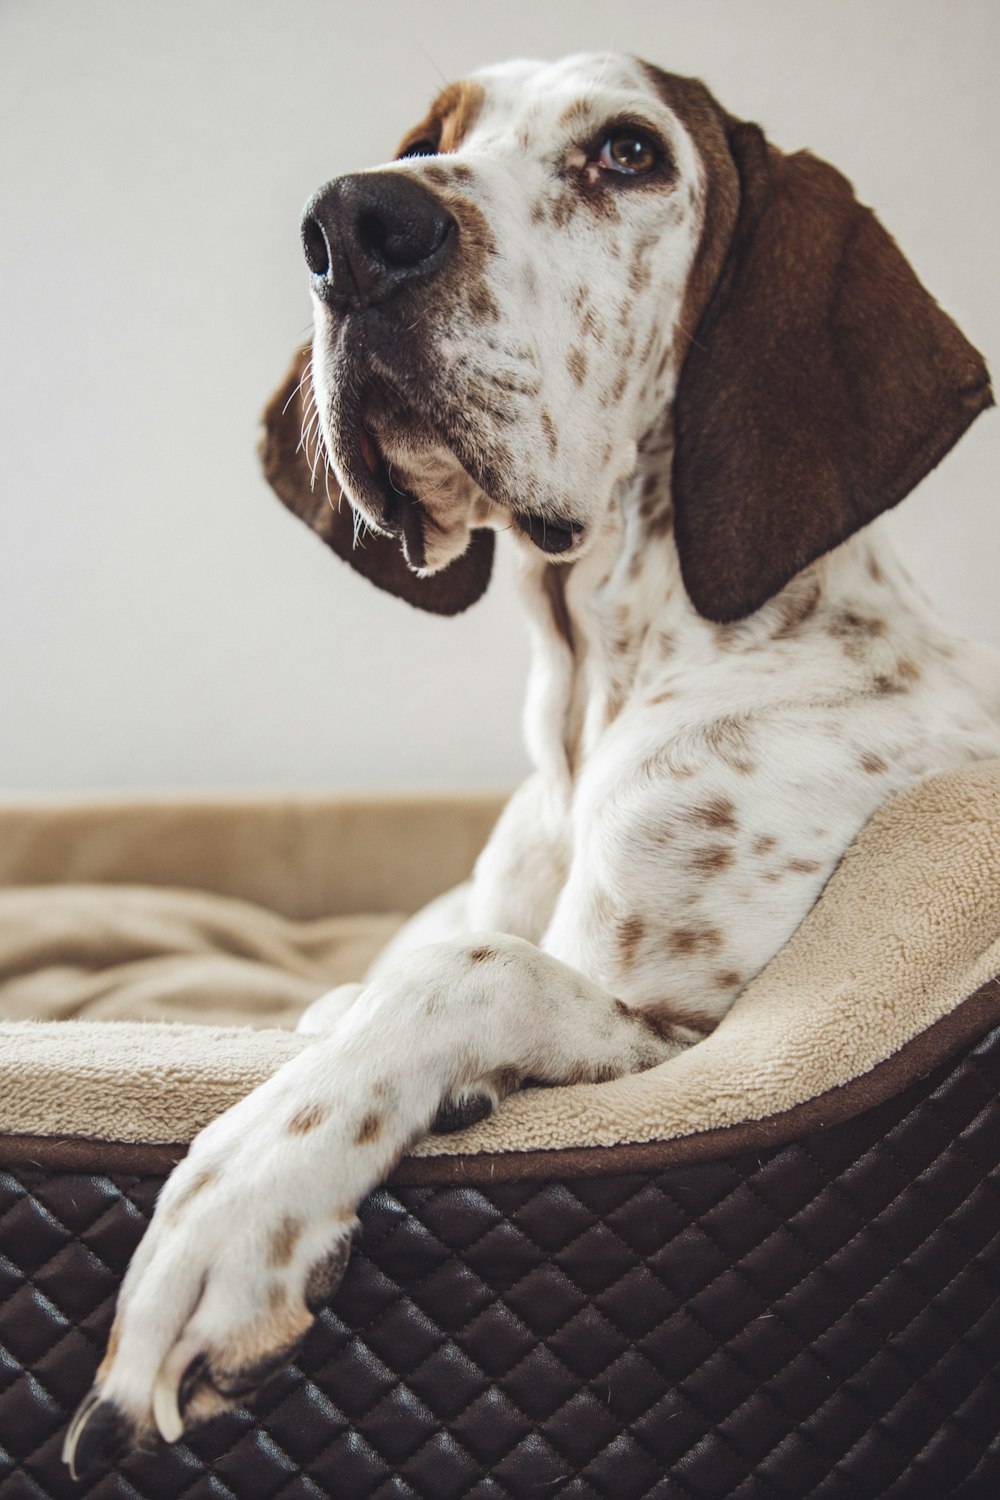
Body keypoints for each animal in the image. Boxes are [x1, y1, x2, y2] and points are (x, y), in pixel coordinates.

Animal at [64, 49, 1000, 1476]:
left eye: (629, 152)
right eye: (426, 142)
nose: (354, 225)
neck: (597, 701)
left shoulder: (705, 1041)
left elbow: (471, 973)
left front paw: (237, 1205)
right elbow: (431, 968)